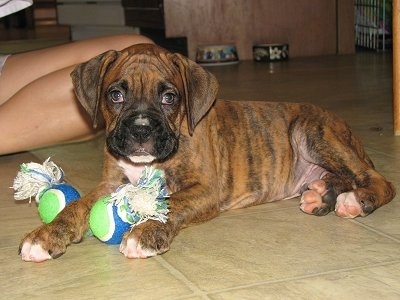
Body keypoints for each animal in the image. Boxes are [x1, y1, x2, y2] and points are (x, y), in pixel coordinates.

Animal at [18, 43, 394, 262]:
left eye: (169, 97)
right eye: (115, 95)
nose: (141, 130)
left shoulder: (204, 189)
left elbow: (170, 203)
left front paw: (145, 232)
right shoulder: (110, 184)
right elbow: (75, 206)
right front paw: (47, 235)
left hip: (311, 131)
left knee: (378, 180)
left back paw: (355, 200)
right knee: (344, 176)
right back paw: (321, 194)